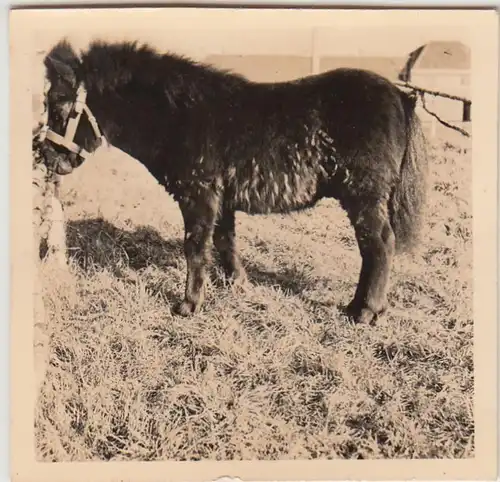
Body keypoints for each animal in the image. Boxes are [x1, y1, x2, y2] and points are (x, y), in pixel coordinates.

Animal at [41, 37, 428, 324]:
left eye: (59, 107)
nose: (44, 157)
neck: (178, 115)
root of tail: (399, 95)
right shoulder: (221, 199)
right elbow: (225, 242)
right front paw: (238, 286)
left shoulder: (198, 195)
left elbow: (195, 248)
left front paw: (188, 305)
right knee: (372, 248)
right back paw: (357, 307)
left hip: (364, 194)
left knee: (379, 245)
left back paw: (365, 311)